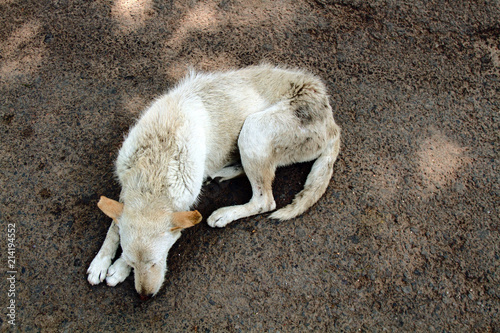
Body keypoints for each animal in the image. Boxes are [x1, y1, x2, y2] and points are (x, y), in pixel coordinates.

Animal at [88, 63, 342, 296]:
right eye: (134, 263)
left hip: (254, 129)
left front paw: (117, 269)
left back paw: (224, 214)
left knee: (264, 201)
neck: (155, 160)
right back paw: (225, 172)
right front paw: (102, 262)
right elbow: (114, 226)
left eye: (155, 261)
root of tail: (333, 124)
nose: (144, 296)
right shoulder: (126, 189)